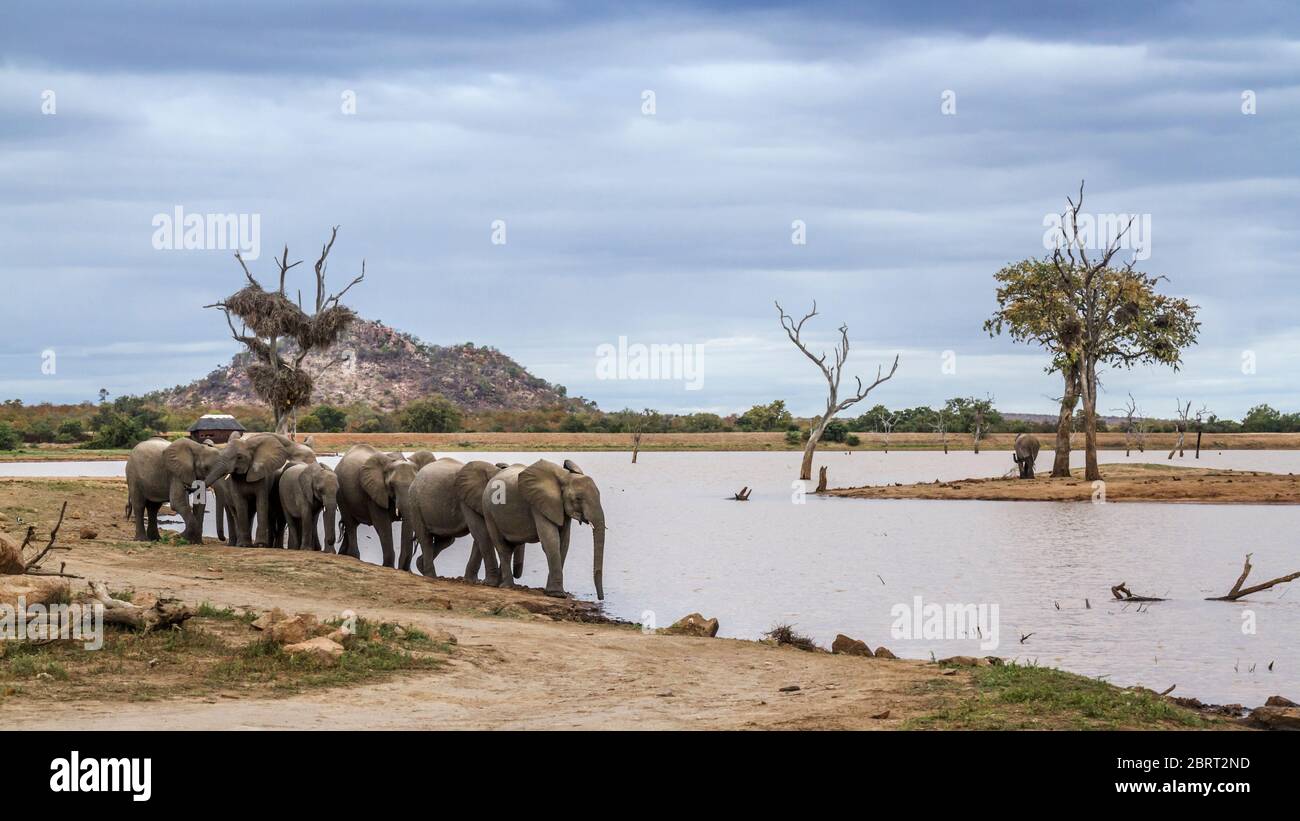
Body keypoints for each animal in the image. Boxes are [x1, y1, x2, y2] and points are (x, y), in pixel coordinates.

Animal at [335, 441, 416, 571]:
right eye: (391, 485)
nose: (404, 569)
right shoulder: (374, 493)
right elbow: (382, 524)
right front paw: (388, 566)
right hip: (341, 493)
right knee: (350, 524)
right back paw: (353, 556)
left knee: (352, 524)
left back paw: (344, 554)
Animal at [483, 459, 603, 600]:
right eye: (578, 498)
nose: (601, 598)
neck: (564, 476)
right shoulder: (538, 504)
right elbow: (551, 541)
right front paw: (557, 594)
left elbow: (563, 543)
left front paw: (551, 592)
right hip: (488, 511)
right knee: (503, 548)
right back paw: (507, 586)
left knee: (510, 546)